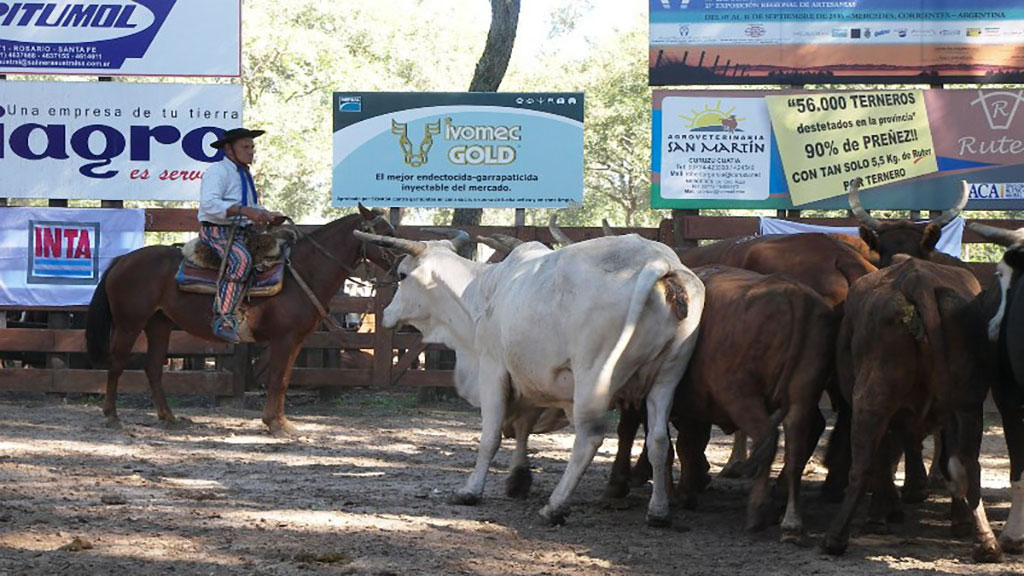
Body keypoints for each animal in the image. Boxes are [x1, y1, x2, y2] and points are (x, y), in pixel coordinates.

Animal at [87, 206, 395, 434]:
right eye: (383, 237)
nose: (399, 269)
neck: (303, 272)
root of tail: (123, 260)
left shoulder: (295, 340)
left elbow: (284, 379)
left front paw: (282, 422)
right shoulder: (282, 339)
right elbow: (276, 378)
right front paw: (273, 423)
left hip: (159, 323)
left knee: (153, 368)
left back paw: (169, 417)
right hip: (129, 323)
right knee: (117, 364)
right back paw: (112, 416)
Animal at [354, 229, 704, 524]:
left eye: (402, 275)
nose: (386, 314)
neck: (484, 293)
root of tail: (659, 262)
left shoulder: (493, 369)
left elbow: (490, 437)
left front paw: (470, 490)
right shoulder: (528, 378)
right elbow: (523, 427)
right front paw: (518, 478)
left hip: (593, 375)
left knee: (589, 438)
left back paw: (555, 506)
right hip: (667, 376)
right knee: (658, 439)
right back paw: (658, 511)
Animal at [819, 256, 1003, 561]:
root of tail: (919, 280)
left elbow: (883, 459)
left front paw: (879, 517)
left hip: (871, 400)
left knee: (863, 465)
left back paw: (835, 538)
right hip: (967, 404)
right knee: (968, 464)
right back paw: (984, 542)